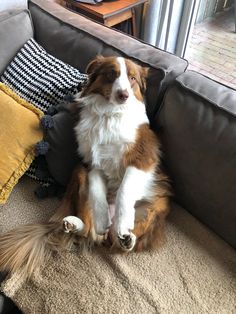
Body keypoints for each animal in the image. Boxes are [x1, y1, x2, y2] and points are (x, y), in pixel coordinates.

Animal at [0, 55, 171, 280]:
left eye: (132, 78)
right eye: (112, 74)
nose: (124, 95)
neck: (109, 113)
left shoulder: (143, 157)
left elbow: (125, 189)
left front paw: (123, 223)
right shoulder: (92, 163)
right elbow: (97, 193)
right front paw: (101, 219)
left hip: (159, 203)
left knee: (117, 242)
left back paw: (127, 238)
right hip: (79, 171)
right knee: (90, 232)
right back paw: (77, 223)